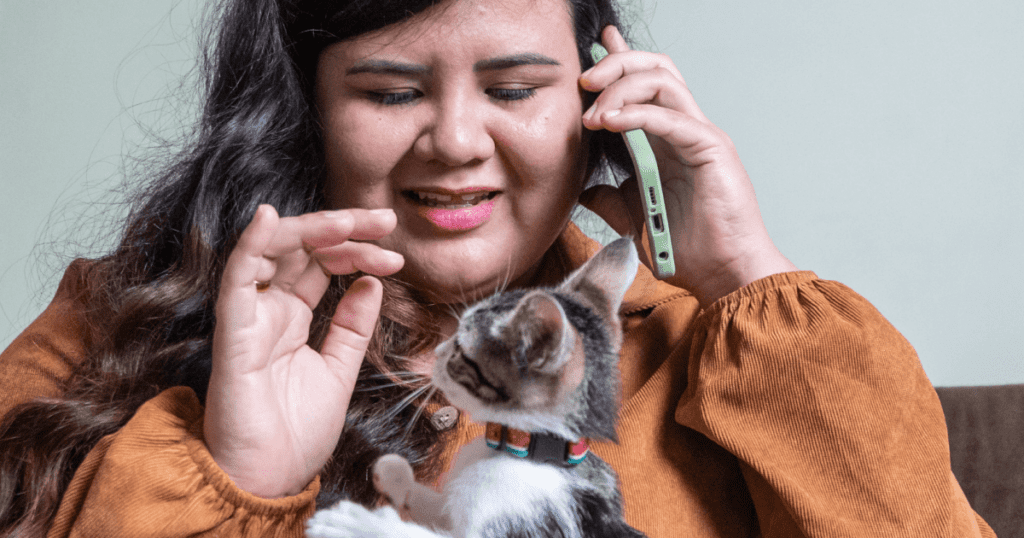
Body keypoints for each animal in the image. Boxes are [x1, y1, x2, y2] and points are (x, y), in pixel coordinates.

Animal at [307, 236, 647, 532]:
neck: (527, 451)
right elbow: (439, 506)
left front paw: (352, 522)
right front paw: (395, 473)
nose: (438, 353)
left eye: (461, 350)